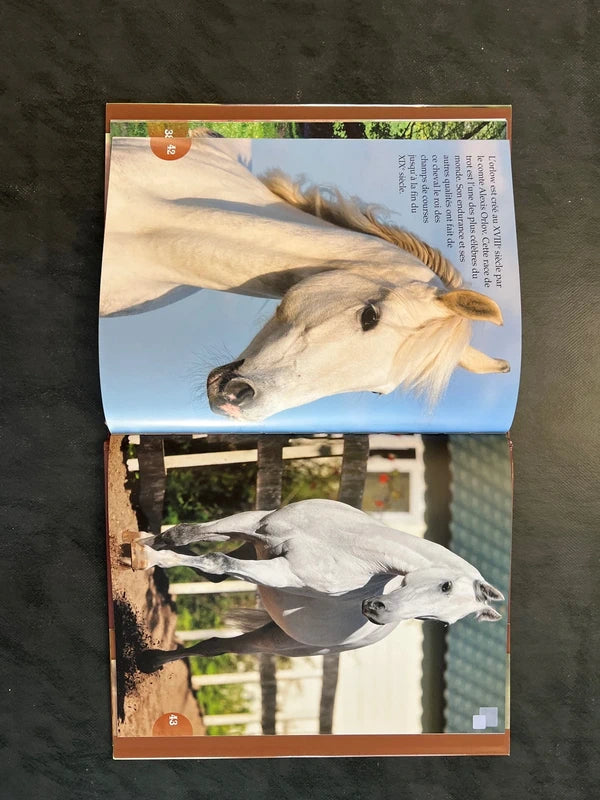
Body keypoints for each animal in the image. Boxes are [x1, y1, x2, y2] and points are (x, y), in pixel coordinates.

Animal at [128, 499, 505, 673]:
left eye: (440, 621)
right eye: (445, 586)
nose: (375, 608)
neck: (350, 547)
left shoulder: (282, 573)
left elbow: (216, 560)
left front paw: (144, 556)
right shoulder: (256, 523)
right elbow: (185, 533)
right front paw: (138, 543)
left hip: (277, 641)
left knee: (217, 645)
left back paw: (150, 662)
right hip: (258, 551)